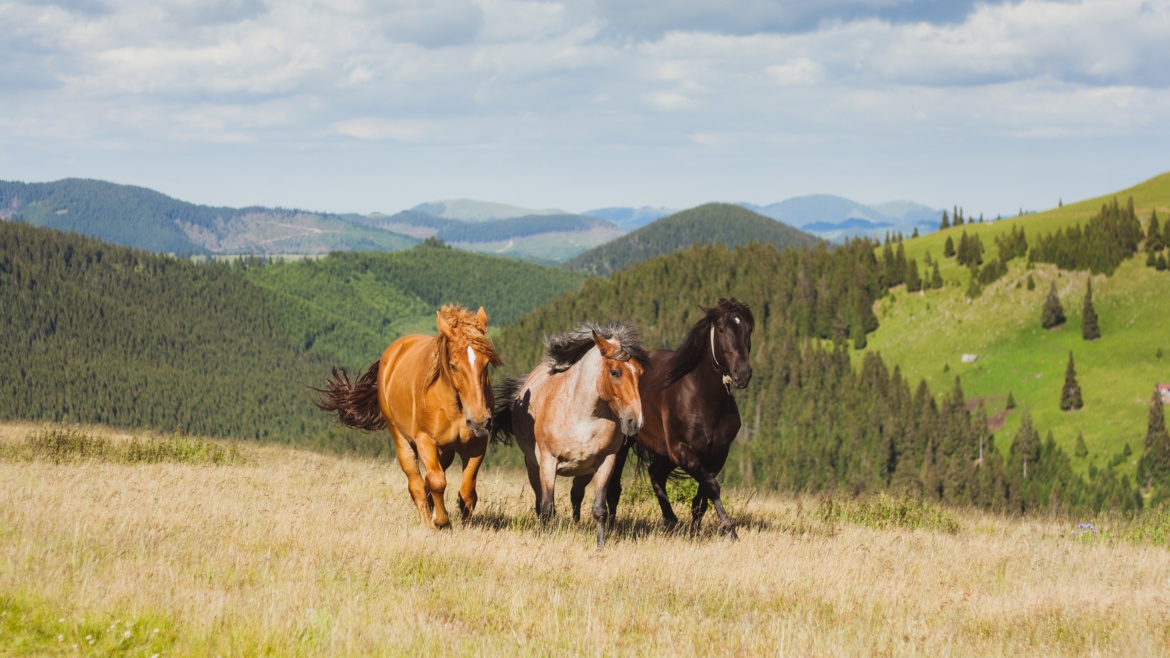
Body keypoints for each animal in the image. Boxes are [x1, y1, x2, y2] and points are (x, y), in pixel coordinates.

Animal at [315, 304, 503, 526]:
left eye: (486, 363)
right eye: (454, 365)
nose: (480, 420)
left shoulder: (476, 444)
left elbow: (467, 492)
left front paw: (464, 523)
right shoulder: (425, 440)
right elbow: (436, 481)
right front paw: (441, 522)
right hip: (402, 439)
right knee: (417, 484)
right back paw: (428, 520)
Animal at [493, 320, 650, 543]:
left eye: (639, 372)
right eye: (615, 372)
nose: (635, 422)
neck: (583, 417)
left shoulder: (606, 462)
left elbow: (599, 508)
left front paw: (601, 544)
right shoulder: (548, 462)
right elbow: (547, 507)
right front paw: (544, 538)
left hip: (584, 472)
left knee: (576, 494)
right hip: (533, 467)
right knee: (541, 502)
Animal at [580, 299, 753, 536]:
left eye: (748, 329)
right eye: (721, 329)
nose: (742, 374)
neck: (704, 399)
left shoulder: (717, 455)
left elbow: (702, 497)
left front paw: (694, 531)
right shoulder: (682, 451)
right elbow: (711, 486)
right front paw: (729, 528)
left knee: (655, 473)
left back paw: (670, 519)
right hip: (626, 445)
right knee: (616, 487)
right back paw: (615, 527)